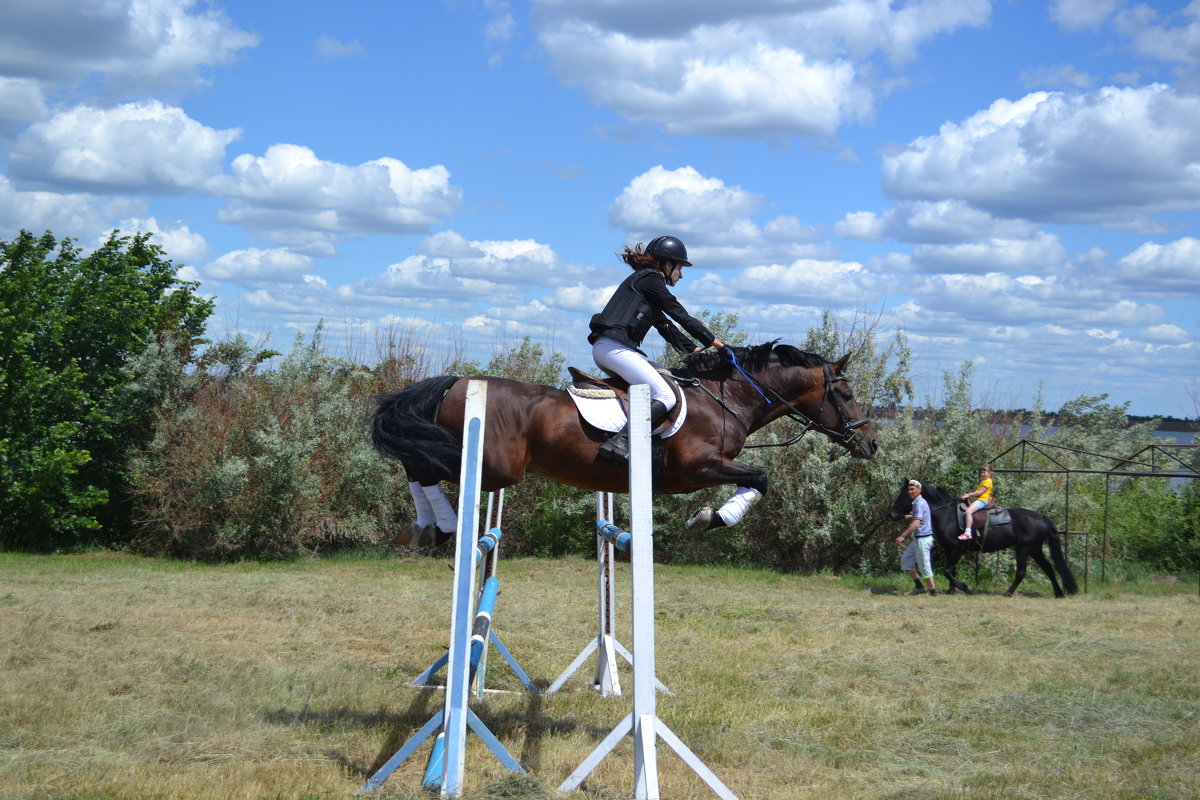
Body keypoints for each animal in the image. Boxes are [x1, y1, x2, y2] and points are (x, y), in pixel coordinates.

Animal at [369, 340, 878, 542]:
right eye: (847, 395)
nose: (871, 443)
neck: (726, 399)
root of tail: (457, 382)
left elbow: (756, 478)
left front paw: (711, 516)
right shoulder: (696, 468)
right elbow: (761, 477)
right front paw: (710, 518)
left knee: (417, 465)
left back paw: (426, 527)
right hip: (494, 467)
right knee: (423, 466)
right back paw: (442, 525)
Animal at [892, 482, 1080, 594]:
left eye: (905, 494)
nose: (892, 514)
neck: (947, 514)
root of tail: (1041, 517)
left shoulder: (957, 549)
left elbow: (947, 571)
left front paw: (965, 587)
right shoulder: (950, 551)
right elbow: (951, 570)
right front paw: (952, 590)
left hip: (1024, 549)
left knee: (1021, 572)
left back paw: (1008, 592)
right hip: (1035, 550)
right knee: (1049, 568)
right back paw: (1058, 593)